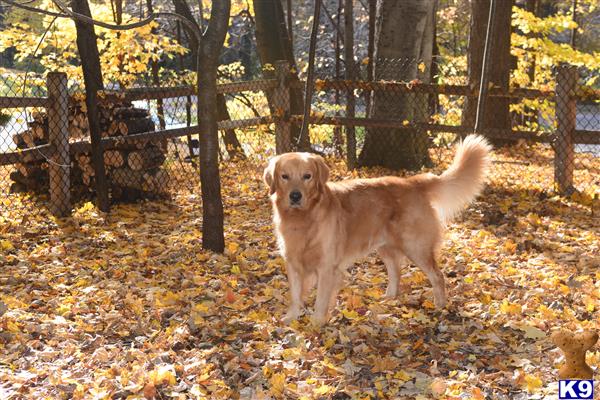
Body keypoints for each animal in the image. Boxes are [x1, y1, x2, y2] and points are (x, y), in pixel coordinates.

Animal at [264, 134, 490, 324]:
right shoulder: (293, 263)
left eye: (307, 176)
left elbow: (321, 299)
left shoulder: (327, 267)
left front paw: (316, 323)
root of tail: (413, 182)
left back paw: (440, 305)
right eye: (284, 176)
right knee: (396, 270)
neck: (303, 218)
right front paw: (291, 318)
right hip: (385, 246)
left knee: (437, 275)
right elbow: (295, 295)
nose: (295, 196)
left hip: (416, 247)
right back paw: (389, 298)